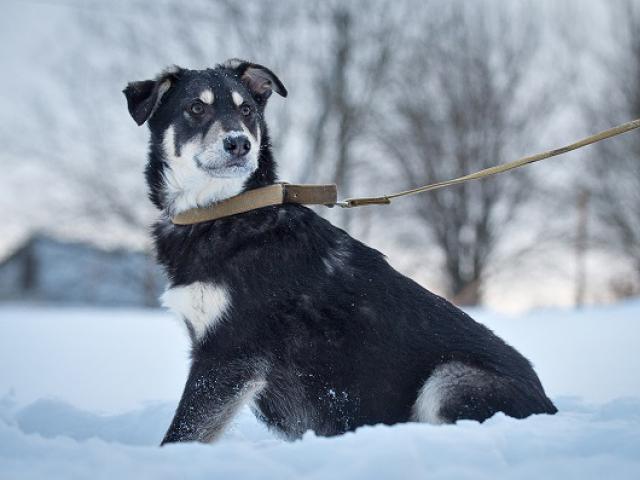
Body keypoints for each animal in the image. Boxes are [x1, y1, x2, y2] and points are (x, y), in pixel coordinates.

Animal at [124, 60, 556, 446]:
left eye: (246, 110)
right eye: (196, 108)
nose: (240, 143)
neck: (226, 212)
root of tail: (549, 408)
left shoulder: (229, 353)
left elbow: (180, 434)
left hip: (449, 378)